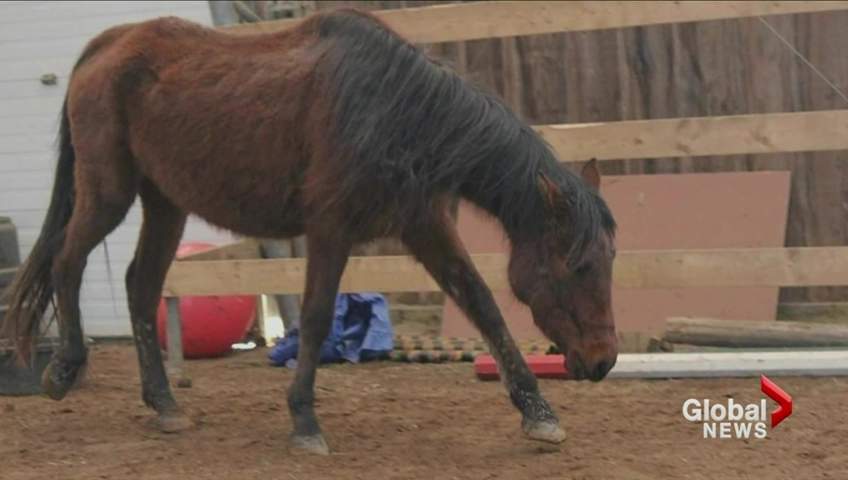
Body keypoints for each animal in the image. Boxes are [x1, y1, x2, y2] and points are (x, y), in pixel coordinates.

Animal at [2, 8, 617, 454]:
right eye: (576, 266)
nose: (603, 362)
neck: (397, 112)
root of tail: (108, 45)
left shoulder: (425, 226)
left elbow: (483, 305)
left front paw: (539, 413)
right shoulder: (329, 229)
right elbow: (318, 317)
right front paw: (304, 420)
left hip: (165, 202)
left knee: (140, 285)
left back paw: (165, 405)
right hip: (108, 191)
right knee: (68, 262)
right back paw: (63, 370)